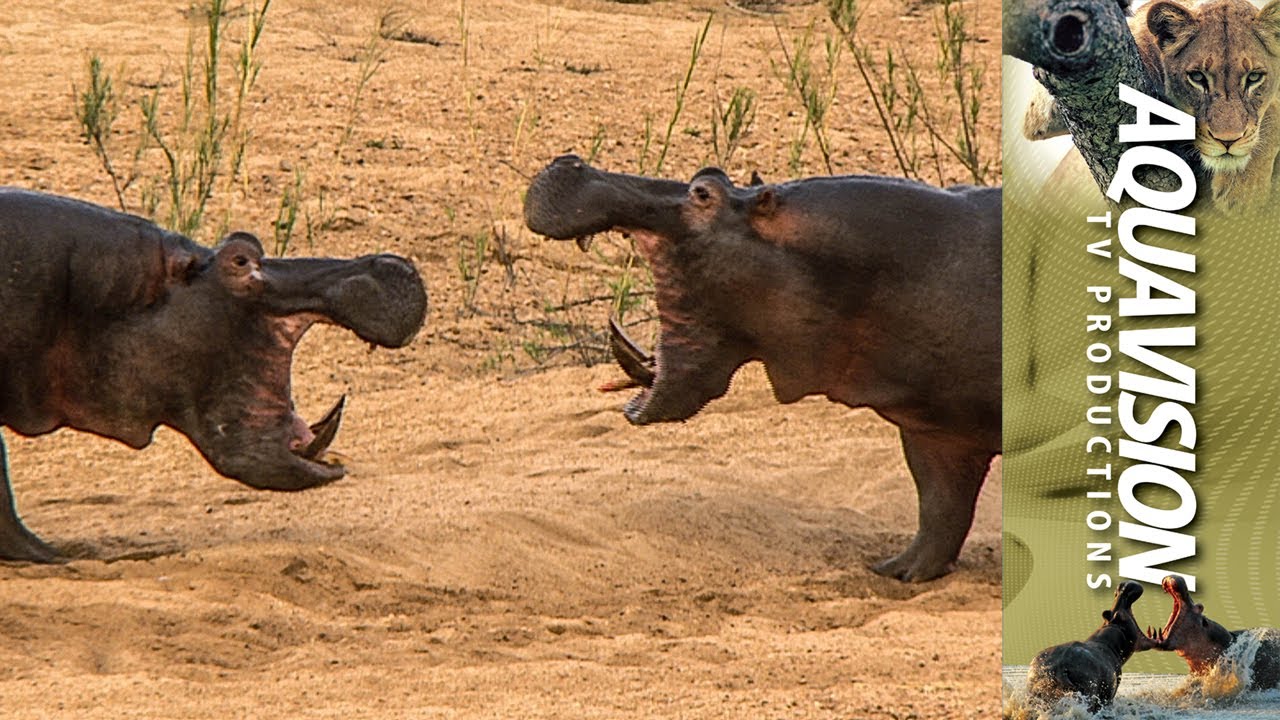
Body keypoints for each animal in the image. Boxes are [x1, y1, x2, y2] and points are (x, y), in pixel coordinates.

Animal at [523, 156, 1001, 582]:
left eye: (703, 193)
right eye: (709, 173)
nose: (571, 162)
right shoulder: (931, 428)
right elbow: (939, 507)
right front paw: (896, 572)